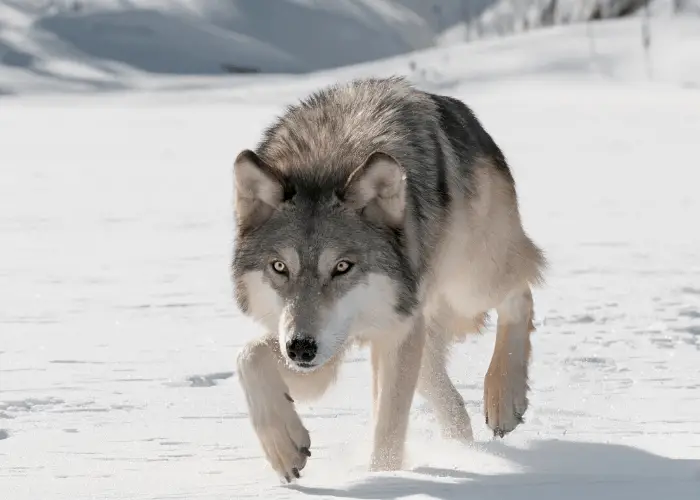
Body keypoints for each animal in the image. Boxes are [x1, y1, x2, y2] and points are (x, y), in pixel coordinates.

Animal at [232, 77, 544, 480]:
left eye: (343, 266)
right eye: (280, 267)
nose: (300, 348)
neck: (326, 161)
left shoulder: (390, 331)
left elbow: (389, 428)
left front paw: (385, 478)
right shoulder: (322, 352)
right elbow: (249, 356)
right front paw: (284, 448)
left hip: (470, 284)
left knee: (521, 292)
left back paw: (504, 399)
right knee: (442, 389)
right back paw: (461, 444)